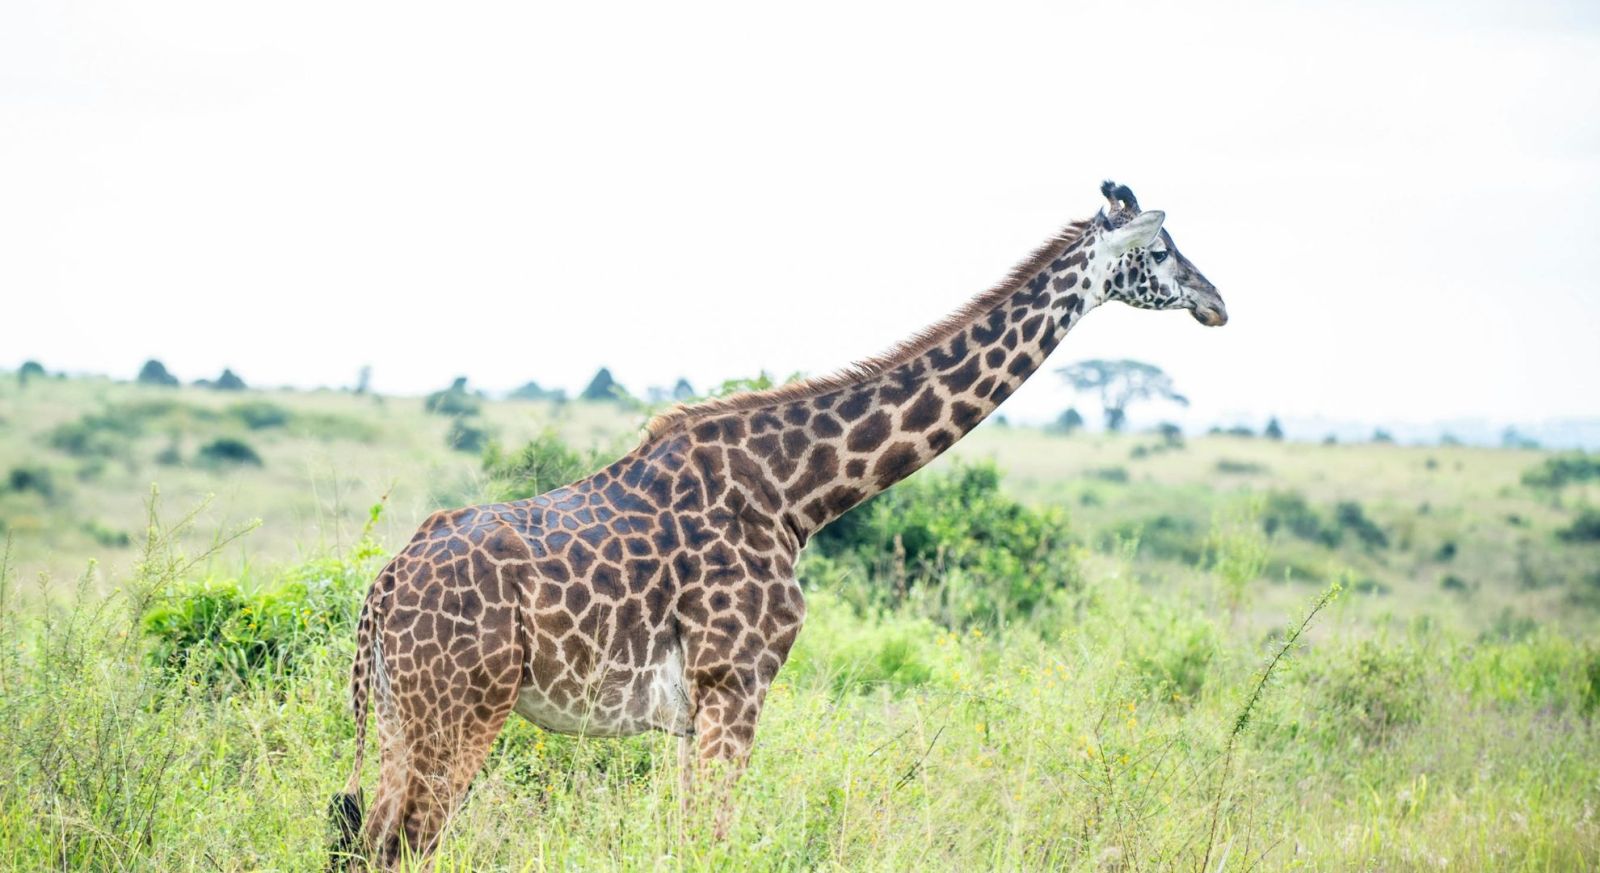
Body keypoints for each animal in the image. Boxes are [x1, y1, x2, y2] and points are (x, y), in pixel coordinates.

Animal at [328, 180, 1226, 868]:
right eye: (1160, 250)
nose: (1217, 301)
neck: (799, 494)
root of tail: (383, 589)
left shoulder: (695, 710)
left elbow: (690, 841)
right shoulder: (737, 681)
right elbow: (713, 841)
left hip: (405, 715)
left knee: (366, 839)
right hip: (459, 710)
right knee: (402, 844)